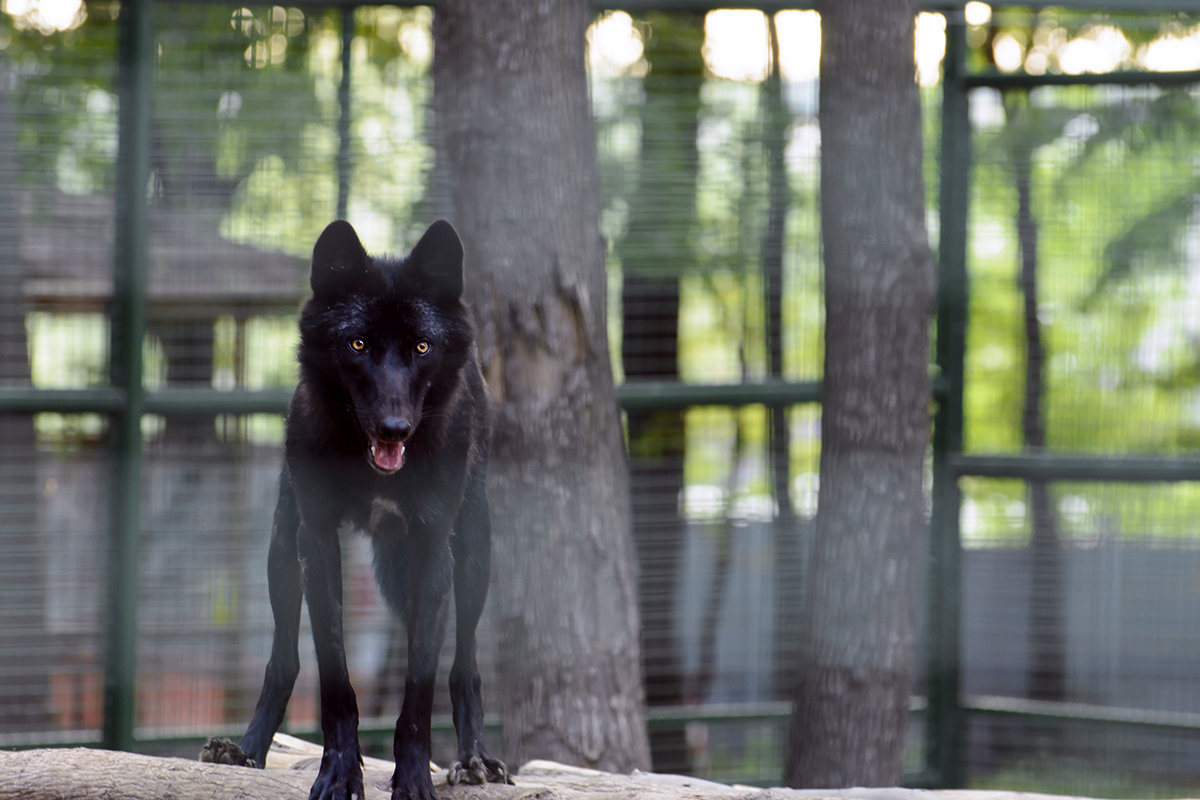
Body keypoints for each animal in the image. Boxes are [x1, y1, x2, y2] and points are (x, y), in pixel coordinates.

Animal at [202, 219, 511, 800]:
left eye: (421, 346)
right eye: (358, 342)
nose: (394, 428)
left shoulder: (433, 548)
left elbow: (418, 688)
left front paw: (413, 779)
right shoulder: (318, 540)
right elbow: (335, 679)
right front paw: (339, 773)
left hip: (473, 552)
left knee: (466, 663)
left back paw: (475, 758)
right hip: (282, 549)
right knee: (283, 661)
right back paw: (247, 752)